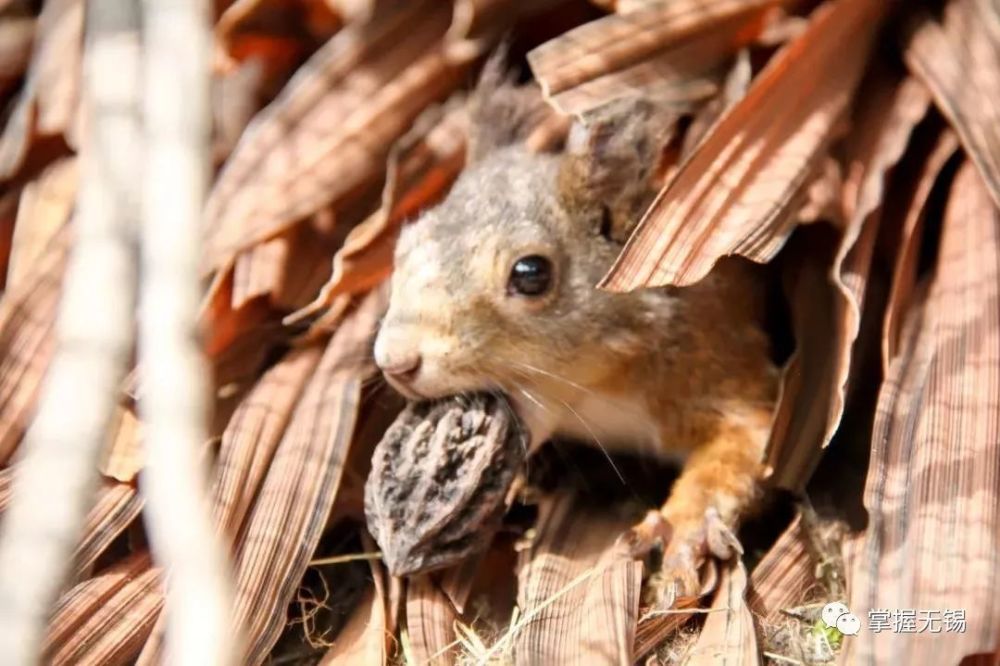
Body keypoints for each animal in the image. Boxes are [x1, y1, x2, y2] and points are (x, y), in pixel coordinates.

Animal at [372, 59, 776, 604]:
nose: (394, 361)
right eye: (403, 249)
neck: (595, 398)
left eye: (531, 274)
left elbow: (743, 440)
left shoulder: (715, 355)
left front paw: (682, 525)